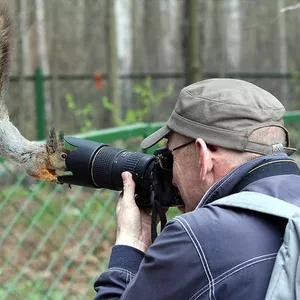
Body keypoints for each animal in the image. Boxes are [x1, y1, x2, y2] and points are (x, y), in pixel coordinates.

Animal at [0, 2, 69, 183]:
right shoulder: (33, 161)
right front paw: (52, 177)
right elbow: (34, 172)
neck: (44, 153)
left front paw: (56, 174)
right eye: (64, 155)